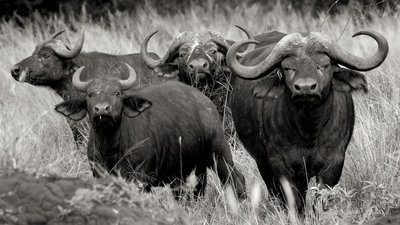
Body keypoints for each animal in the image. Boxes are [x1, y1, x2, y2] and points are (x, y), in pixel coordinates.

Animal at [54, 63, 245, 199]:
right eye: (90, 94)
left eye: (117, 93)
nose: (102, 109)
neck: (111, 148)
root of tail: (205, 102)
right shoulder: (99, 173)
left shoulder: (139, 177)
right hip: (187, 170)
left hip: (219, 151)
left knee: (236, 178)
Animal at [227, 29, 390, 211]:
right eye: (288, 68)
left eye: (324, 65)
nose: (305, 88)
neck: (309, 130)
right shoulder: (280, 165)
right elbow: (294, 201)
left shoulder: (334, 163)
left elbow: (321, 199)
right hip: (261, 162)